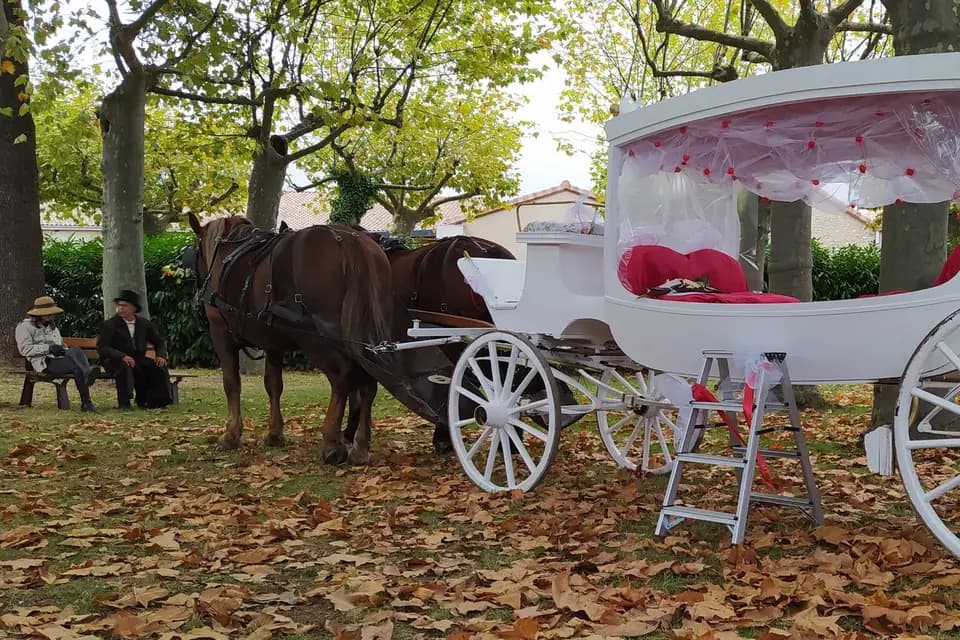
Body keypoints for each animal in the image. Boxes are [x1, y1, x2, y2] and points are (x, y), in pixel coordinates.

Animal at [187, 213, 393, 465]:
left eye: (195, 252)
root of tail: (350, 239)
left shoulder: (221, 335)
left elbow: (231, 383)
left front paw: (231, 435)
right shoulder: (272, 342)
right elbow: (273, 385)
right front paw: (274, 433)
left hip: (317, 339)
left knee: (342, 378)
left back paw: (332, 442)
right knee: (368, 383)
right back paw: (360, 445)